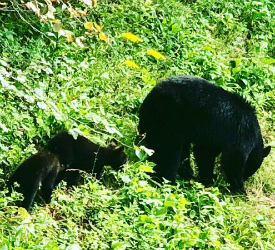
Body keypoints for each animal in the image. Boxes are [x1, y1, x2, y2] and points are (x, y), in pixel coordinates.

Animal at [140, 75, 272, 192]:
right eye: (251, 168)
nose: (246, 178)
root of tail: (151, 96)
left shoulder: (213, 138)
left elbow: (204, 153)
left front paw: (208, 178)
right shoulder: (240, 135)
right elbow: (233, 159)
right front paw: (240, 189)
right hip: (170, 117)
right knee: (170, 153)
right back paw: (168, 182)